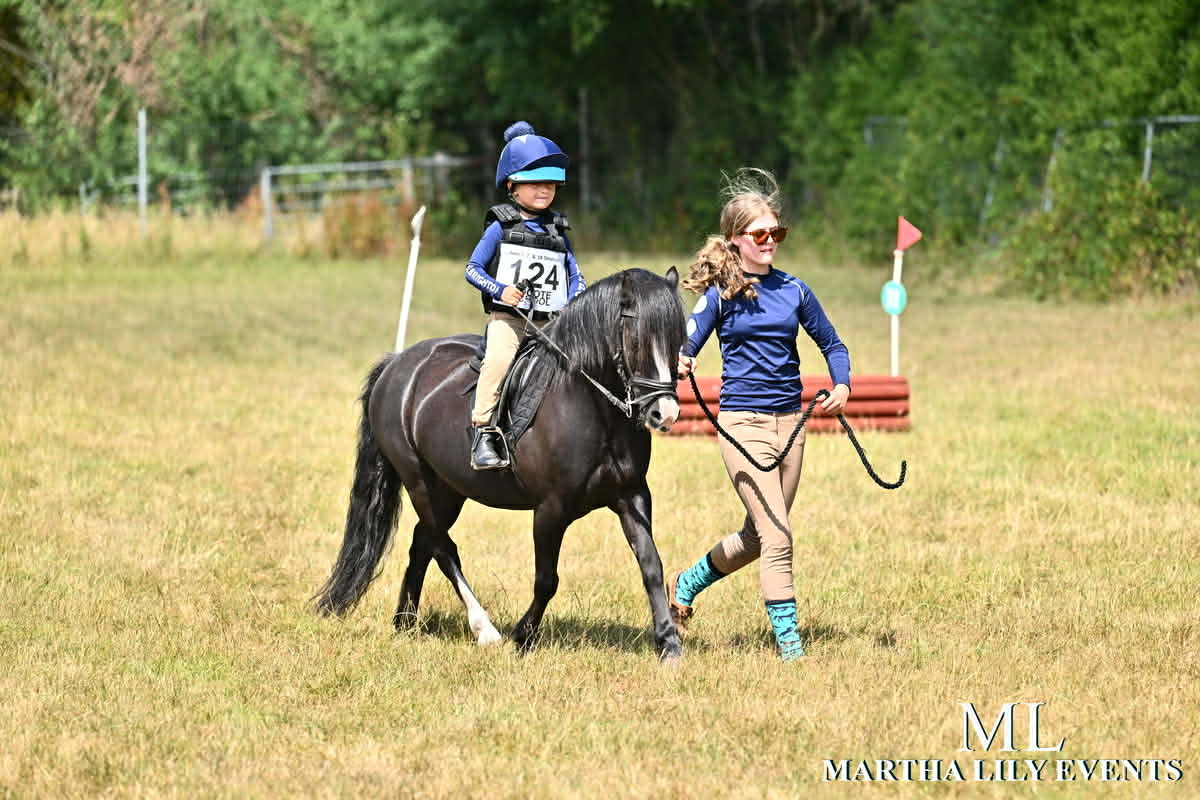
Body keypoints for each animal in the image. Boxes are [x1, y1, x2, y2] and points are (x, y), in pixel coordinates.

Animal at [313, 267, 687, 660]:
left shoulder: (631, 496)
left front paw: (668, 643)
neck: (595, 410)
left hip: (448, 489)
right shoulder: (551, 509)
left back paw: (405, 622)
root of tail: (396, 364)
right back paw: (484, 629)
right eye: (636, 341)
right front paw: (523, 636)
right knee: (443, 547)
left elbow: (651, 565)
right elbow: (546, 579)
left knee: (423, 541)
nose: (665, 414)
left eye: (678, 340)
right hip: (419, 481)